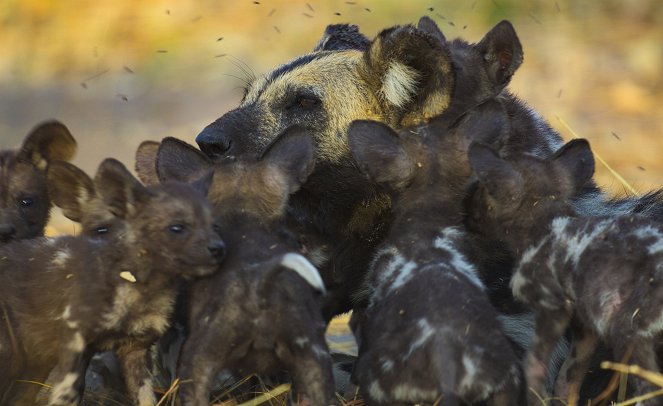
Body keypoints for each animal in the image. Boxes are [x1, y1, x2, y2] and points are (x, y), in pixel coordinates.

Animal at [0, 159, 224, 406]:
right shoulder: (74, 343)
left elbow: (146, 398)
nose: (218, 249)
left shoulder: (136, 349)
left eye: (215, 226)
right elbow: (67, 395)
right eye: (177, 227)